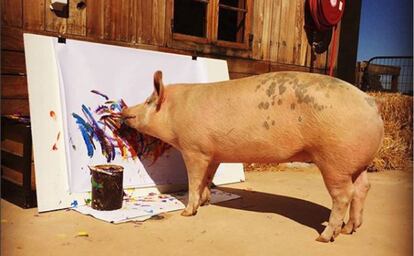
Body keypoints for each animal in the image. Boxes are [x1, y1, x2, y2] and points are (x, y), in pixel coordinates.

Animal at [121, 70, 384, 242]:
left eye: (148, 101)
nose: (124, 110)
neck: (175, 111)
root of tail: (372, 105)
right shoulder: (214, 154)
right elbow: (208, 178)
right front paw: (206, 202)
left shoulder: (194, 149)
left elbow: (194, 180)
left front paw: (188, 212)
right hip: (357, 163)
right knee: (363, 188)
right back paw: (350, 229)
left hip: (334, 161)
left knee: (344, 195)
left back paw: (325, 236)